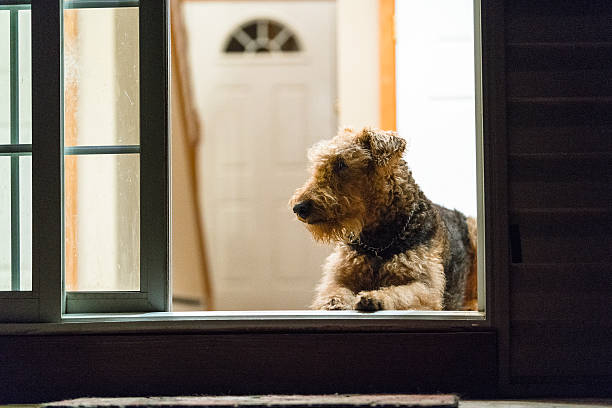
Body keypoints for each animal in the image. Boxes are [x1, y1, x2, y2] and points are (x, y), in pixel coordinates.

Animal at [290, 126, 476, 310]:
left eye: (341, 163)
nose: (299, 207)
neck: (377, 243)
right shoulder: (337, 278)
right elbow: (333, 290)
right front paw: (334, 302)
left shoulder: (426, 287)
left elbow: (400, 293)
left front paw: (374, 297)